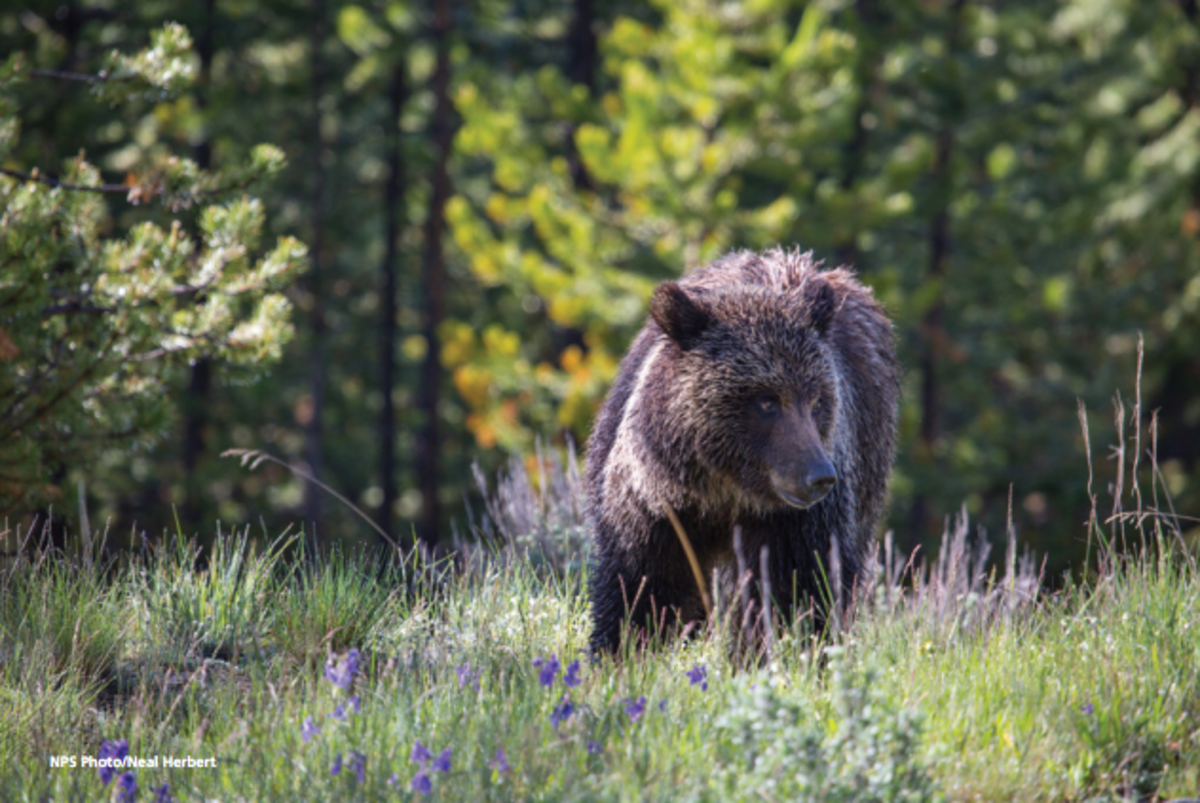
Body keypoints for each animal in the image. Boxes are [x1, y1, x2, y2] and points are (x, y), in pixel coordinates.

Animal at [585, 247, 899, 652]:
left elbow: (797, 589)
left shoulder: (793, 523)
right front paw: (623, 647)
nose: (819, 475)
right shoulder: (654, 506)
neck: (723, 490)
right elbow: (643, 587)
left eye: (816, 401)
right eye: (767, 401)